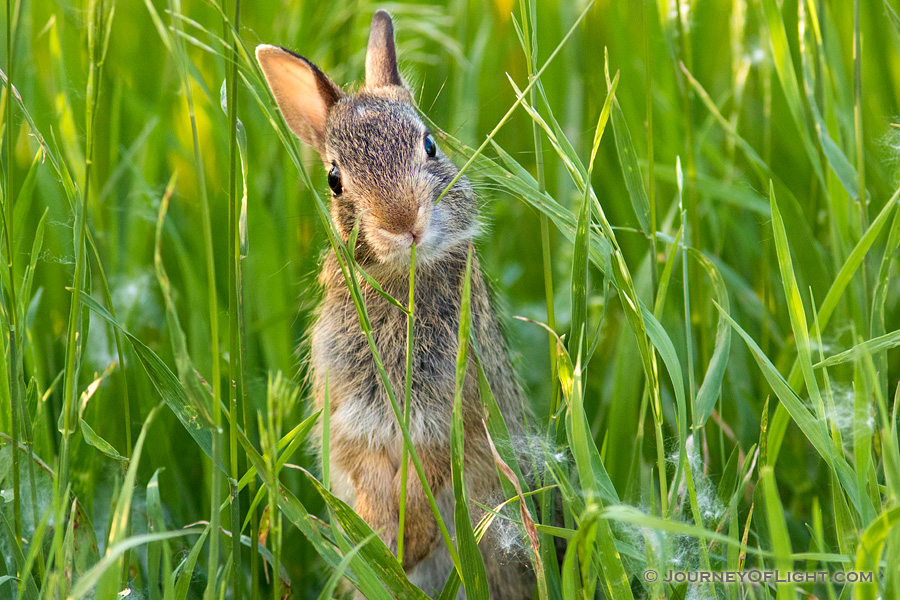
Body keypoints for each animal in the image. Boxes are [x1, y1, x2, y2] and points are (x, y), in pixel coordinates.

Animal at [253, 10, 536, 600]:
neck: (398, 283)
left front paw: (412, 540)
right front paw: (383, 543)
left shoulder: (450, 409)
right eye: (335, 179)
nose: (404, 222)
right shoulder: (351, 416)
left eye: (430, 144)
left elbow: (436, 469)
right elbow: (369, 478)